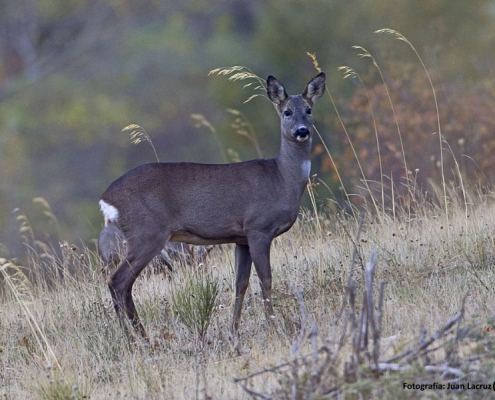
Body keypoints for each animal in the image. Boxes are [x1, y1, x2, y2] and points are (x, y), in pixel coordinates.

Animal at [100, 71, 326, 334]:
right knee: (118, 281)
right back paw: (132, 337)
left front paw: (234, 330)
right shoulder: (258, 227)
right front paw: (273, 326)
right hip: (147, 232)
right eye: (287, 111)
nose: (302, 131)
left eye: (309, 109)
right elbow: (266, 279)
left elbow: (241, 283)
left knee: (125, 286)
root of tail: (106, 199)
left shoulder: (241, 237)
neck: (282, 178)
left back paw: (140, 335)